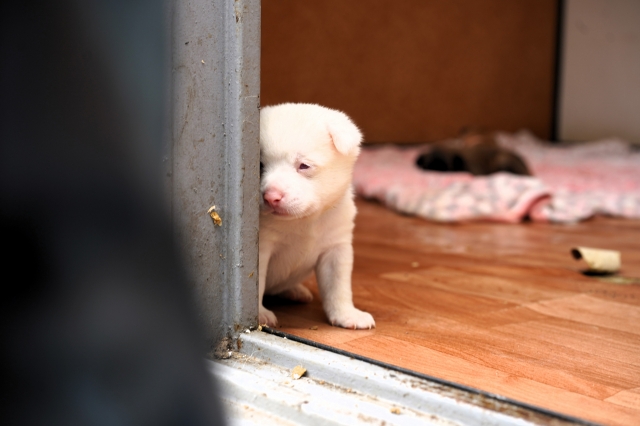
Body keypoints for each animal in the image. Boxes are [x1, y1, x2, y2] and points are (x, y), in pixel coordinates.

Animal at [258, 103, 376, 330]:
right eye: (259, 166)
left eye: (303, 165)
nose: (271, 197)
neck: (304, 220)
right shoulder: (261, 247)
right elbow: (256, 282)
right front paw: (259, 314)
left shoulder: (336, 248)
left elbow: (338, 286)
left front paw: (347, 314)